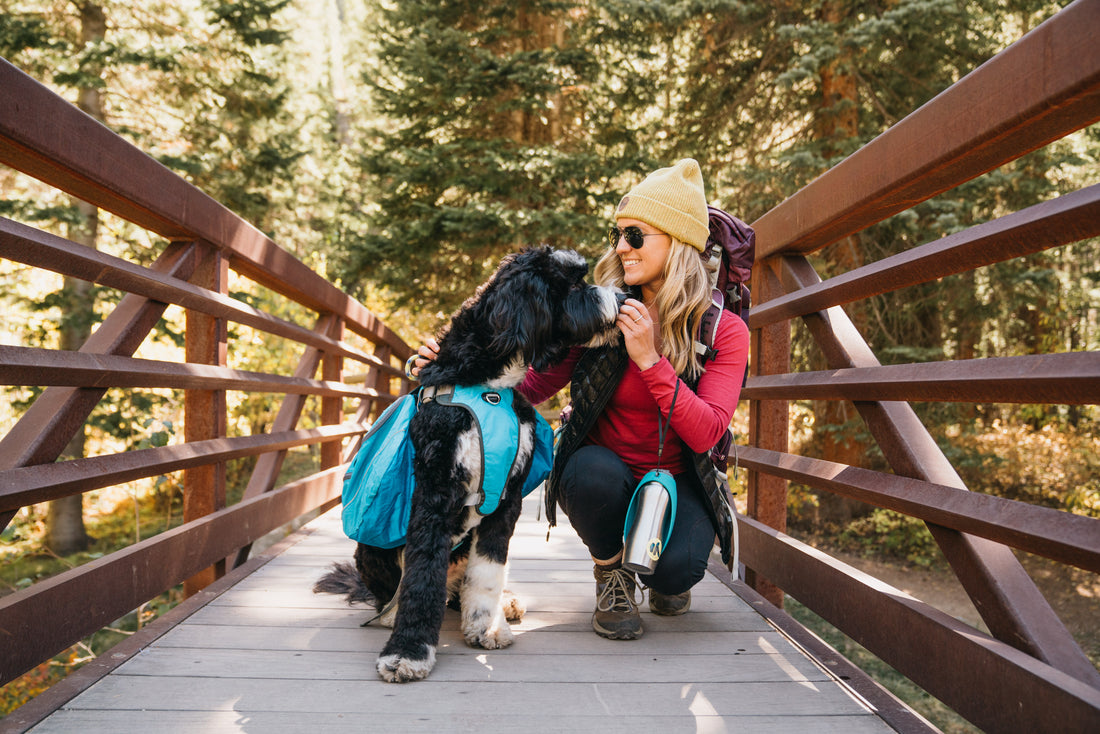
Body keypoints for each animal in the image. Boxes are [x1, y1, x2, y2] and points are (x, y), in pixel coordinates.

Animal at [319, 245, 629, 682]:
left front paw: (485, 626)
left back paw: (504, 603)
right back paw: (391, 615)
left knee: (462, 583)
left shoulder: (506, 498)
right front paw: (408, 652)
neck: (489, 387)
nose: (623, 297)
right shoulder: (435, 495)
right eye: (573, 287)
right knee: (402, 591)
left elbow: (488, 572)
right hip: (371, 551)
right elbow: (421, 579)